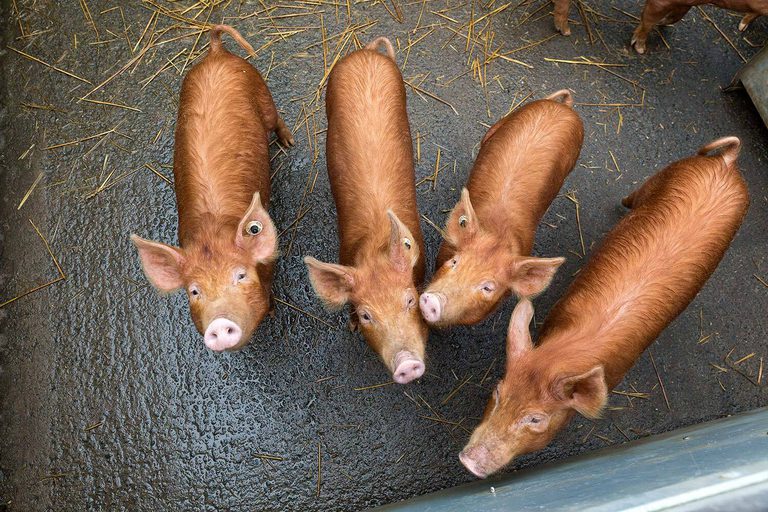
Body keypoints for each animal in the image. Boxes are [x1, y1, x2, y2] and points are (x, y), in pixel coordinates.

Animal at [131, 25, 293, 352]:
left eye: (241, 275)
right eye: (194, 291)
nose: (219, 323)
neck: (211, 232)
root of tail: (217, 52)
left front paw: (271, 312)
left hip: (261, 89)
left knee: (276, 118)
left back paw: (288, 141)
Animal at [303, 37, 427, 385]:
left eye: (410, 300)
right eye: (366, 314)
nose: (407, 364)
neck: (376, 246)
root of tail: (366, 52)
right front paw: (351, 327)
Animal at [419, 90, 583, 328]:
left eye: (487, 287)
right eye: (455, 261)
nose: (433, 300)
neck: (497, 232)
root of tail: (564, 108)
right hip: (504, 121)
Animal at [460, 136, 749, 478]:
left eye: (535, 418)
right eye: (497, 392)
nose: (468, 460)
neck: (563, 355)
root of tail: (727, 163)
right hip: (672, 171)